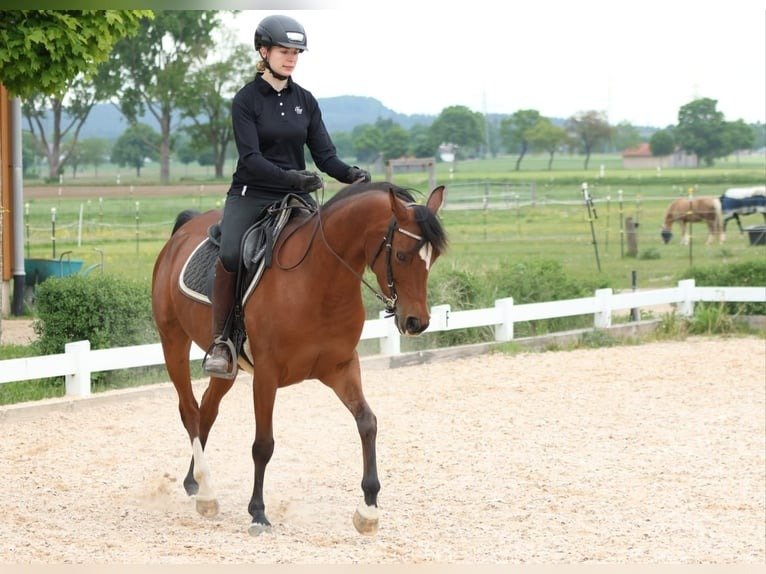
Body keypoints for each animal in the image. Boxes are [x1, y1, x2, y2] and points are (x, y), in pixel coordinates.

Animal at [151, 181, 447, 536]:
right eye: (401, 255)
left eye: (434, 258)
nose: (417, 322)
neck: (319, 280)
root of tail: (183, 231)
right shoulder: (267, 374)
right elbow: (263, 444)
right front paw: (258, 512)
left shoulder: (341, 368)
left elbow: (367, 423)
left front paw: (369, 509)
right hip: (173, 342)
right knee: (190, 412)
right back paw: (207, 491)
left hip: (228, 369)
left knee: (207, 411)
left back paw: (194, 483)